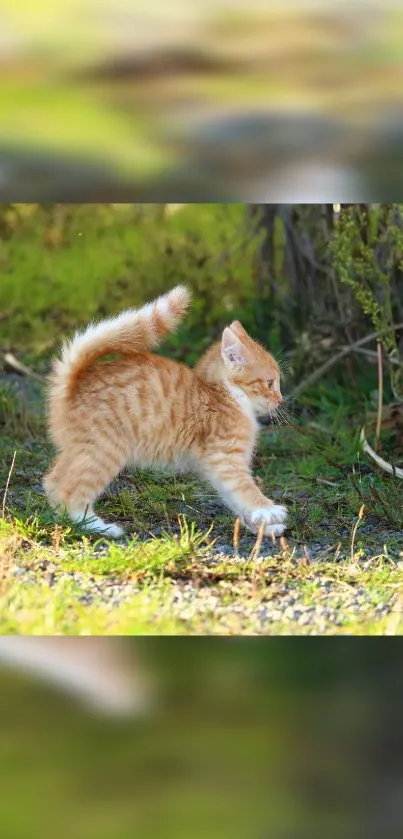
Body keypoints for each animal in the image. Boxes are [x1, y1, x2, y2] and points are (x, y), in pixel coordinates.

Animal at [44, 288, 288, 540]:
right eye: (270, 383)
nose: (280, 400)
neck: (225, 394)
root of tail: (74, 381)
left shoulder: (219, 466)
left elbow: (236, 499)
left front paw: (263, 526)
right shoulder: (225, 458)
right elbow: (246, 489)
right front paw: (268, 509)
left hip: (81, 451)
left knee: (52, 482)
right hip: (104, 451)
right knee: (69, 491)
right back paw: (97, 526)